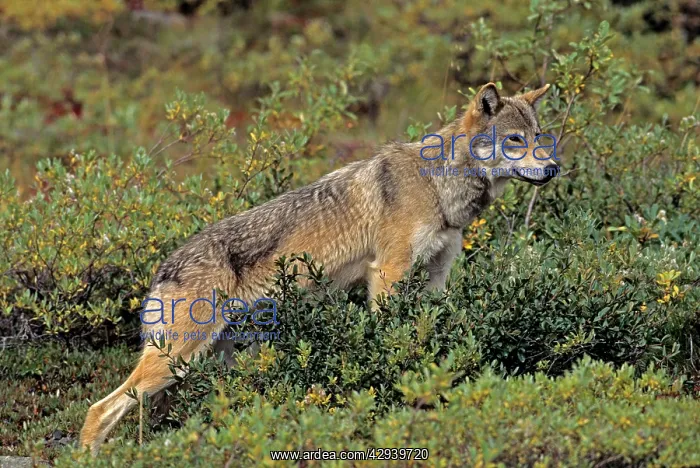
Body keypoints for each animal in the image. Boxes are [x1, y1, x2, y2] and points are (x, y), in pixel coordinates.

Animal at [80, 82, 557, 454]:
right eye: (515, 140)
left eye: (540, 136)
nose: (553, 168)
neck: (439, 186)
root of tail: (163, 268)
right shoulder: (387, 274)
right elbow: (388, 341)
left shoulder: (436, 278)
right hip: (178, 360)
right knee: (99, 410)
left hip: (212, 362)